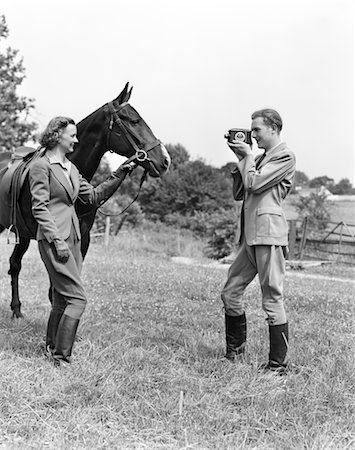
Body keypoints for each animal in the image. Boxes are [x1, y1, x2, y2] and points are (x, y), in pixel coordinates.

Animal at [0, 83, 171, 316]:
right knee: (15, 264)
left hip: (21, 232)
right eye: (134, 120)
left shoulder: (83, 237)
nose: (165, 161)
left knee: (15, 263)